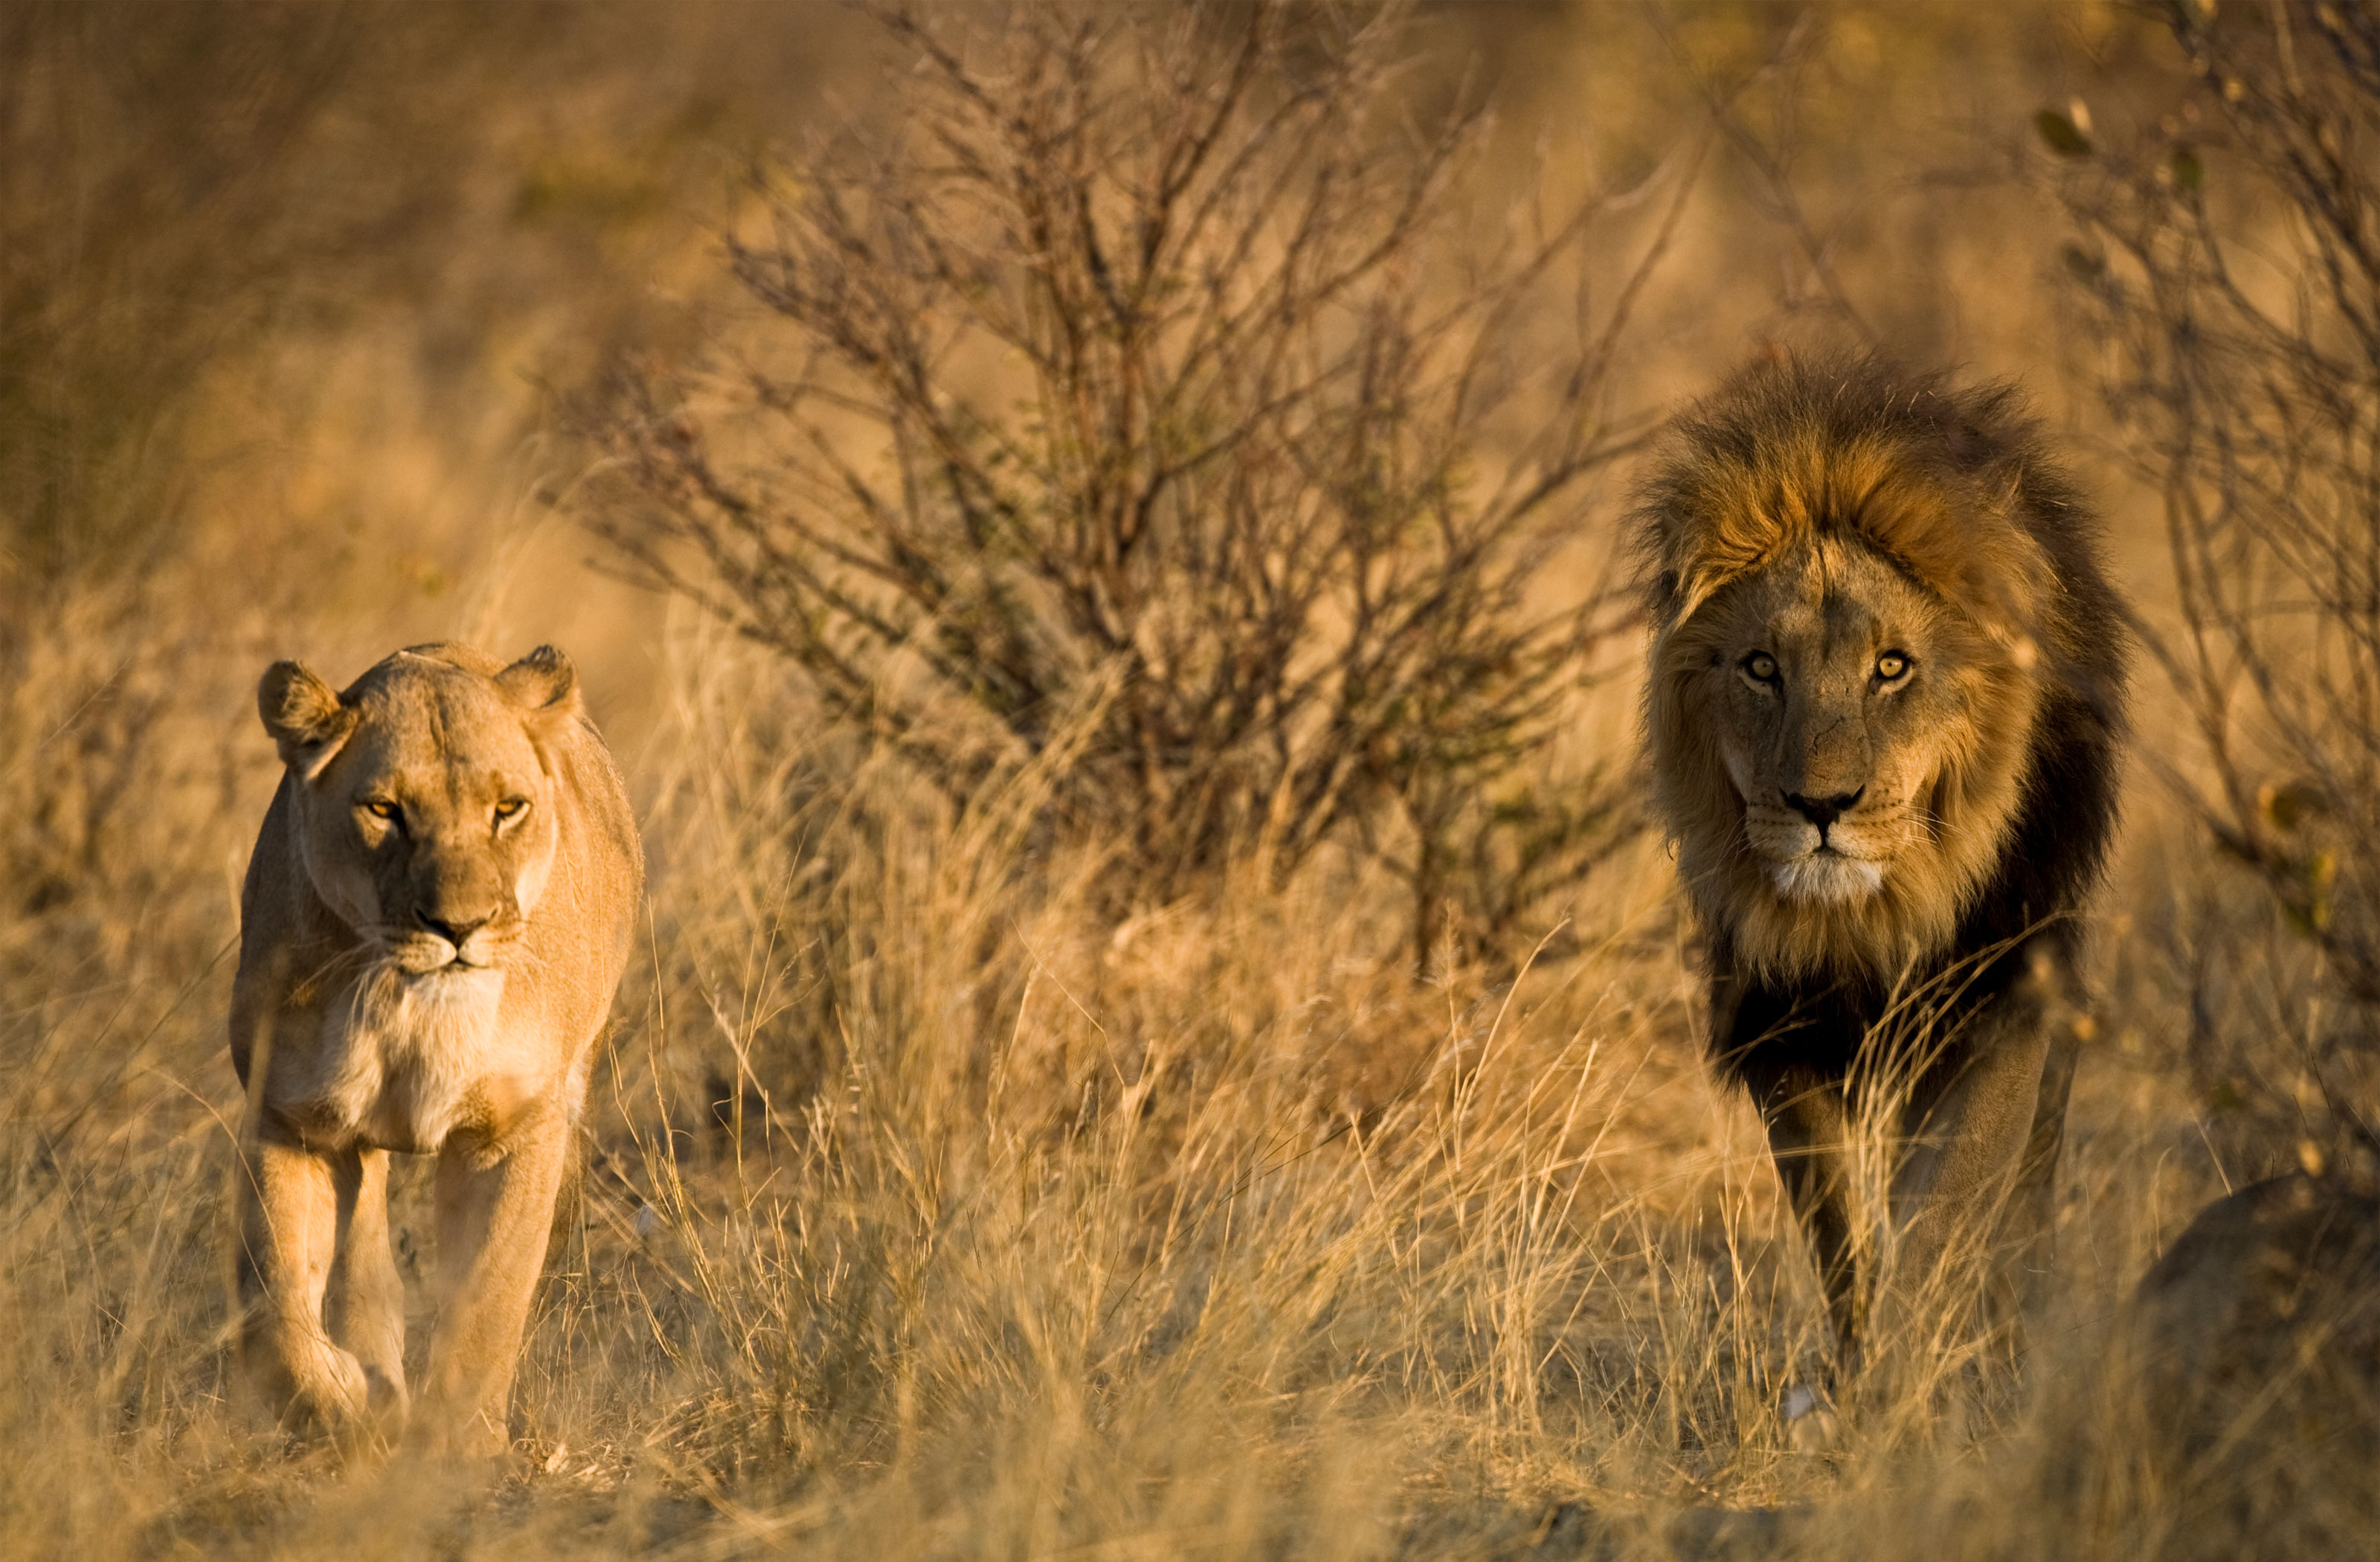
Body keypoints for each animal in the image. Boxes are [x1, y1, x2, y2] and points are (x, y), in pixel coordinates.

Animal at [230, 642, 643, 1456]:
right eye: (384, 811)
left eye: (507, 808)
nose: (460, 926)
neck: (413, 1011)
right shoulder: (289, 1119)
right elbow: (274, 1311)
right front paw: (345, 1403)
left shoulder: (518, 1130)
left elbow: (488, 1300)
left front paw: (453, 1452)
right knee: (364, 1252)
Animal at [1635, 352, 2128, 1360]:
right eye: (1760, 669)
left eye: (1891, 667)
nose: (1820, 807)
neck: (1869, 920)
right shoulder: (1782, 1033)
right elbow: (1841, 1234)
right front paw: (1861, 1364)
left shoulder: (1998, 1007)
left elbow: (1942, 1215)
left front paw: (1913, 1367)